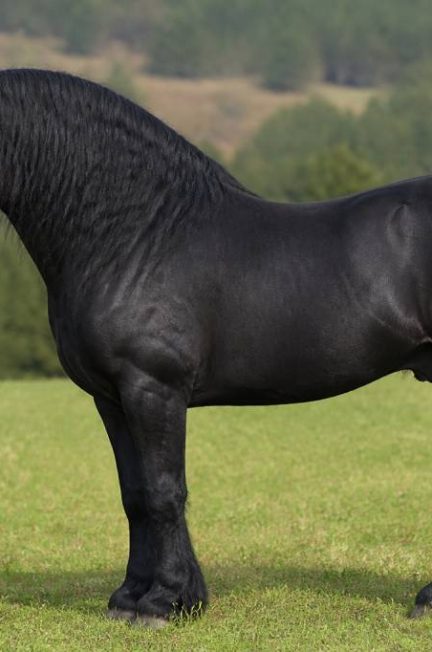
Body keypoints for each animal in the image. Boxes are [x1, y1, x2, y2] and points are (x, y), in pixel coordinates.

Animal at [1, 68, 432, 626]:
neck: (135, 237)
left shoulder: (153, 388)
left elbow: (164, 492)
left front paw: (163, 601)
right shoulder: (111, 397)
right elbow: (134, 494)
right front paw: (134, 596)